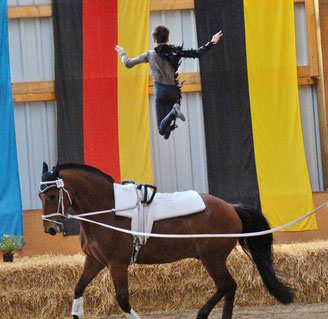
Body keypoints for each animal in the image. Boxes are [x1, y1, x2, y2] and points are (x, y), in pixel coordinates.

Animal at [39, 164, 294, 318]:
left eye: (52, 195)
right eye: (40, 195)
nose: (50, 228)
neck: (107, 211)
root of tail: (231, 208)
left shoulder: (117, 264)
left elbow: (122, 300)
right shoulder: (95, 260)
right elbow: (78, 288)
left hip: (212, 258)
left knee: (227, 285)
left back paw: (202, 313)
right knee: (229, 287)